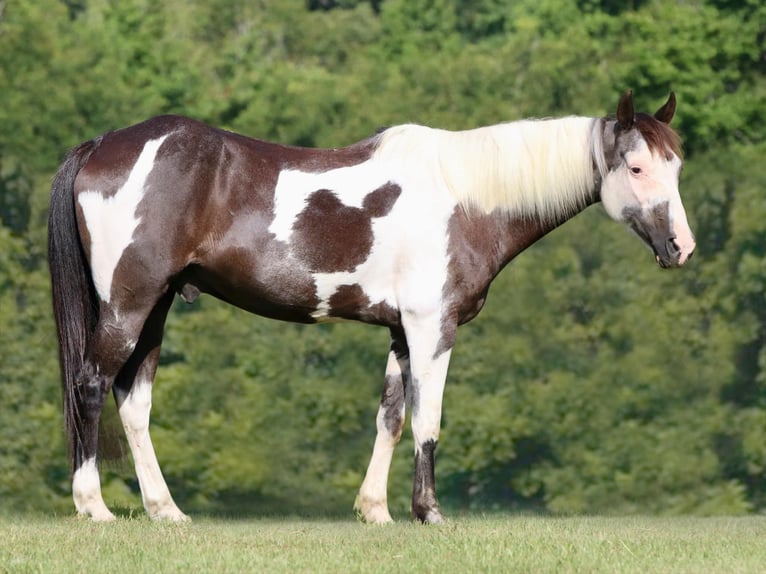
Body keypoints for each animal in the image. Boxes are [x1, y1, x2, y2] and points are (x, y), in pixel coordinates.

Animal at [48, 90, 695, 523]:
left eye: (677, 166)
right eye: (636, 167)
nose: (681, 248)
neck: (466, 198)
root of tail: (103, 145)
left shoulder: (400, 332)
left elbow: (391, 416)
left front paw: (376, 510)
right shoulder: (434, 327)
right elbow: (429, 417)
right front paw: (429, 512)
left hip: (155, 308)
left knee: (134, 403)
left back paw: (166, 510)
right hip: (129, 304)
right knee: (90, 385)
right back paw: (93, 507)